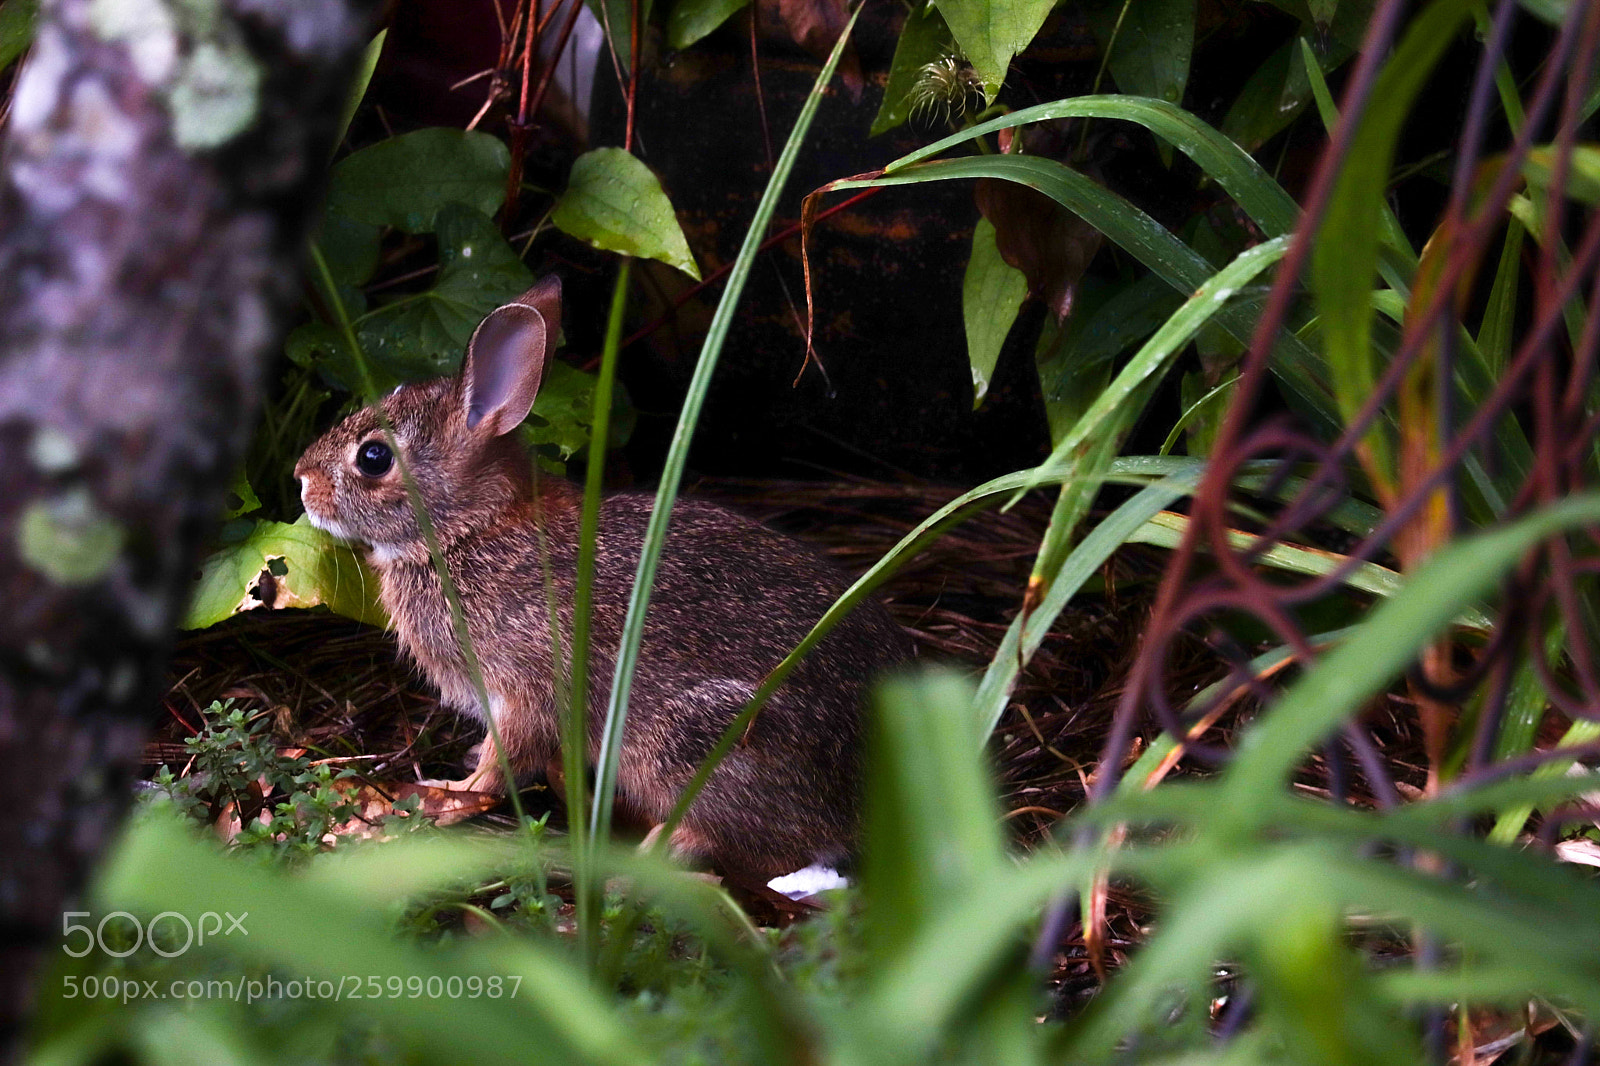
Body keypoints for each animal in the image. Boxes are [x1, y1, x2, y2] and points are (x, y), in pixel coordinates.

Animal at [294, 277, 914, 879]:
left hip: (696, 743)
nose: (301, 480)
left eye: (374, 457)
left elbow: (505, 762)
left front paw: (451, 791)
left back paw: (656, 851)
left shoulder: (525, 690)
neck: (470, 529)